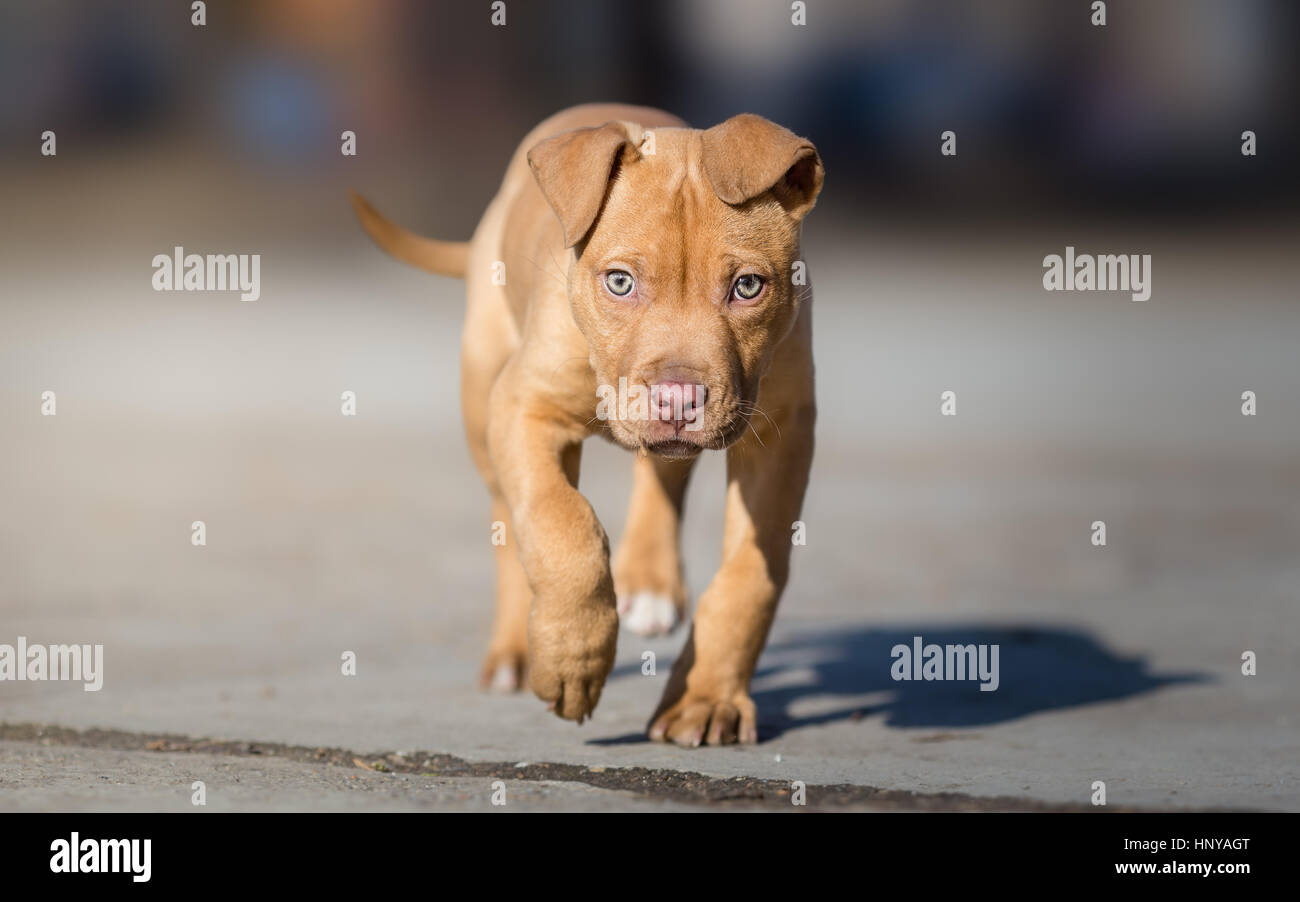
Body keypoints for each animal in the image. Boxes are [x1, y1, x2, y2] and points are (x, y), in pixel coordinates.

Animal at [353, 103, 821, 748]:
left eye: (747, 286)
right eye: (619, 281)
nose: (677, 399)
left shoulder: (781, 433)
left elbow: (752, 571)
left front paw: (705, 699)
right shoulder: (525, 408)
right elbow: (563, 525)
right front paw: (573, 659)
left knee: (662, 478)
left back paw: (649, 585)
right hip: (482, 399)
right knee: (510, 520)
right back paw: (515, 652)